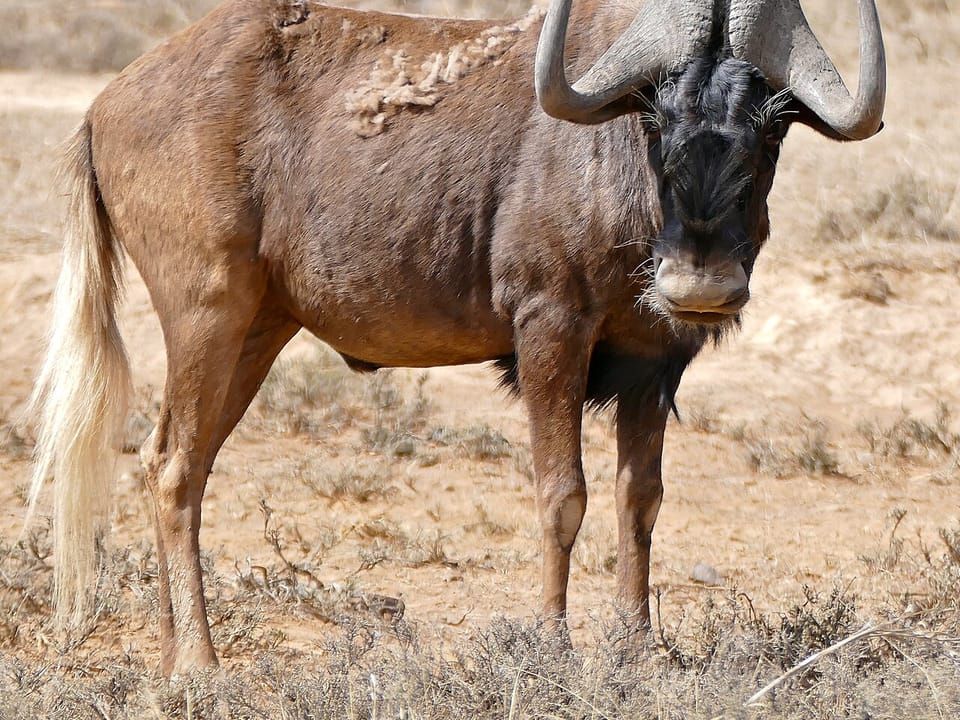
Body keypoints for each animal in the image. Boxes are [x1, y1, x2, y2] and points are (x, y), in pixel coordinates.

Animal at [28, 0, 885, 675]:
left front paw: (636, 651)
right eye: (654, 116)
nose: (698, 285)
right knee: (174, 466)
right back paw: (202, 669)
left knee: (176, 463)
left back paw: (172, 658)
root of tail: (106, 105)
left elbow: (638, 500)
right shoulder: (549, 330)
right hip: (207, 315)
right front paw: (554, 649)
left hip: (255, 332)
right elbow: (562, 495)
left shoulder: (653, 363)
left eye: (770, 127)